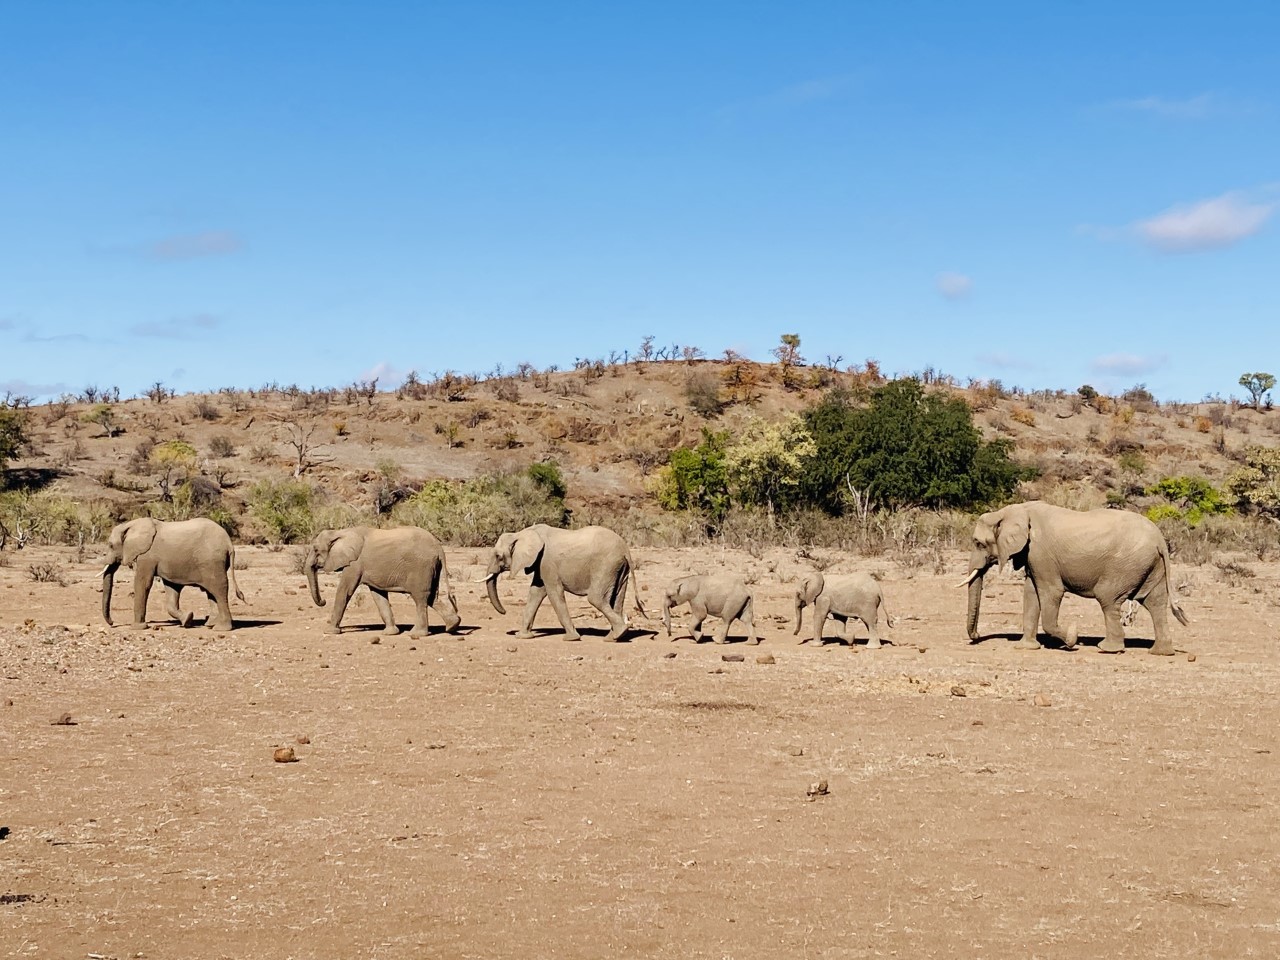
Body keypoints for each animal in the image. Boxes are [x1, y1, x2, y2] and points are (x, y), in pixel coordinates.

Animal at [102, 519, 244, 632]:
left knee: (219, 590)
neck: (130, 524)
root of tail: (229, 543)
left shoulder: (146, 556)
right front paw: (187, 619)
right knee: (211, 592)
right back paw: (210, 624)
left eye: (111, 545)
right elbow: (172, 589)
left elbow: (143, 583)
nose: (113, 623)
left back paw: (221, 629)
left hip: (212, 562)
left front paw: (137, 628)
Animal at [304, 527, 460, 640]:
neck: (340, 532)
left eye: (316, 550)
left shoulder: (354, 563)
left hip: (421, 567)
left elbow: (344, 590)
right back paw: (453, 626)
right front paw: (390, 633)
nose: (323, 601)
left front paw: (329, 631)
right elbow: (378, 596)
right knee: (432, 597)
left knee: (420, 598)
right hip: (431, 568)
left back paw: (416, 634)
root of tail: (439, 547)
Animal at [481, 522, 640, 642]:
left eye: (498, 556)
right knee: (617, 600)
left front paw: (571, 638)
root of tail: (625, 549)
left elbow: (553, 593)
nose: (504, 612)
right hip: (619, 569)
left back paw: (619, 633)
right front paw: (523, 637)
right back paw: (614, 637)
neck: (521, 533)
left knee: (595, 598)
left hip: (606, 566)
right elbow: (536, 593)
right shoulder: (540, 564)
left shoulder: (547, 562)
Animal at [962, 499, 1187, 660]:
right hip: (1150, 565)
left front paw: (1072, 638)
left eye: (979, 543)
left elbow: (1051, 592)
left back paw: (1107, 649)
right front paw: (1026, 647)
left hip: (1126, 565)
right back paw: (1161, 652)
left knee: (1108, 598)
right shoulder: (1032, 555)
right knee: (1155, 603)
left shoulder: (1040, 553)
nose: (977, 636)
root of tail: (1160, 539)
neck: (1012, 511)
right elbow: (1031, 593)